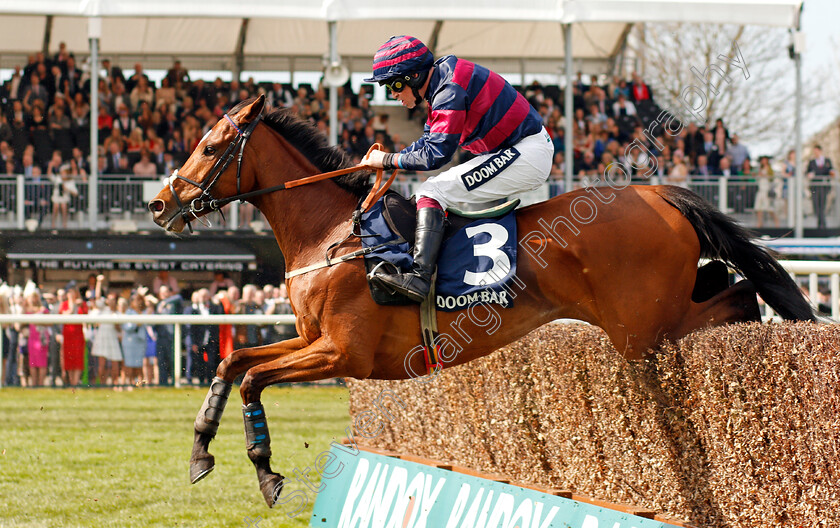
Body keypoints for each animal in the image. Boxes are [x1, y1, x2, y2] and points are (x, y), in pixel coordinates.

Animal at [149, 95, 812, 508]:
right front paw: (201, 451)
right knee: (731, 285)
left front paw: (265, 469)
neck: (336, 233)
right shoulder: (313, 340)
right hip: (659, 314)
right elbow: (233, 363)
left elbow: (253, 378)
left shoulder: (343, 354)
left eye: (210, 147)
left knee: (741, 295)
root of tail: (660, 195)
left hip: (644, 327)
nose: (159, 205)